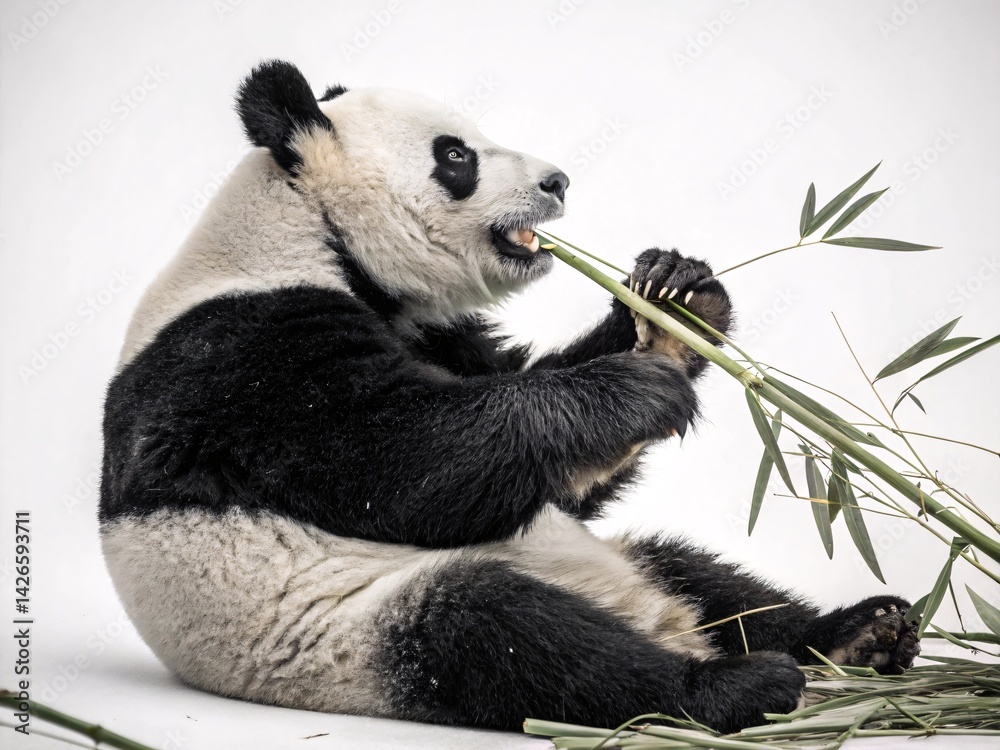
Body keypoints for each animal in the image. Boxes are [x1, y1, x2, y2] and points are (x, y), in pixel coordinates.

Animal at [100, 60, 919, 734]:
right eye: (455, 155)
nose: (558, 181)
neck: (311, 232)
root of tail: (662, 622)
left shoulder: (439, 333)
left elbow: (549, 473)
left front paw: (677, 303)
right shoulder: (244, 356)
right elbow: (409, 465)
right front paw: (633, 387)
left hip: (618, 557)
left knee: (703, 574)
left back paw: (858, 633)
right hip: (357, 630)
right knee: (512, 640)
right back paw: (729, 687)